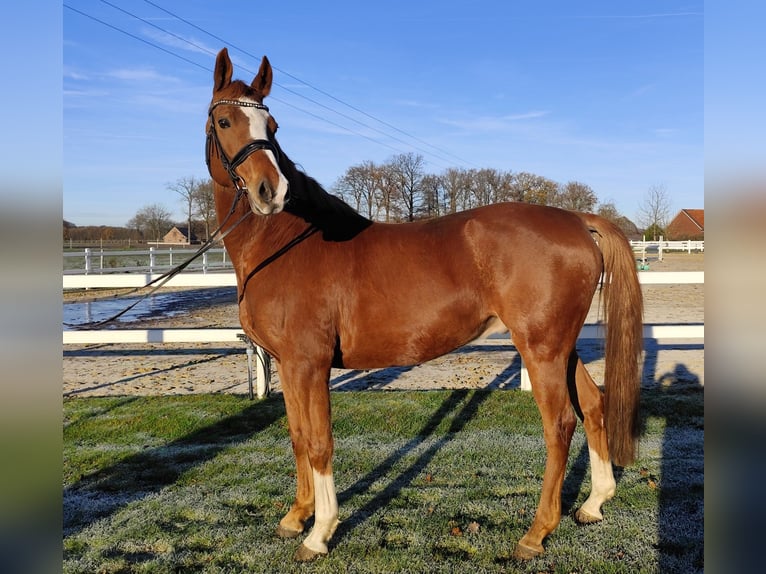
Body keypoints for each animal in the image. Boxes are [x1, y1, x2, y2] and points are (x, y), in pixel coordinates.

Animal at [204, 48, 640, 564]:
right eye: (226, 120)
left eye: (271, 126)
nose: (271, 191)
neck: (289, 243)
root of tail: (575, 218)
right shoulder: (289, 365)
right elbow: (296, 437)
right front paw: (295, 518)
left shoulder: (308, 363)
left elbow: (319, 442)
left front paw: (319, 533)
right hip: (561, 346)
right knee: (592, 405)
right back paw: (593, 503)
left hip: (542, 349)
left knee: (560, 424)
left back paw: (535, 533)